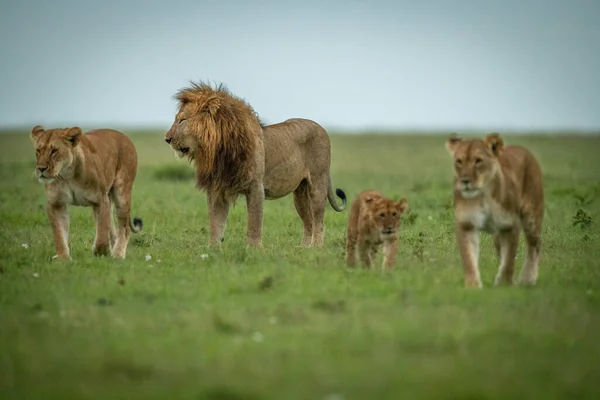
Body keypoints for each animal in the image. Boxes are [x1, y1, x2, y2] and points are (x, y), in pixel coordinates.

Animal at [30, 126, 143, 260]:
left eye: (54, 151)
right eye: (38, 150)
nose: (41, 168)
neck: (67, 176)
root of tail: (123, 135)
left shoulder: (100, 201)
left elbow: (101, 236)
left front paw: (100, 252)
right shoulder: (56, 204)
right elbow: (59, 234)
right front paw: (63, 259)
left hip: (121, 192)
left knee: (124, 228)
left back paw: (117, 255)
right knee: (112, 228)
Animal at [165, 82, 346, 247]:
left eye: (182, 120)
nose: (167, 139)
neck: (219, 150)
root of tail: (321, 128)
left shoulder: (256, 187)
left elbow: (254, 222)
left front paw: (254, 250)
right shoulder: (218, 189)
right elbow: (215, 223)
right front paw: (212, 250)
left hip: (318, 183)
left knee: (319, 221)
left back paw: (316, 248)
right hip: (299, 193)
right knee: (309, 222)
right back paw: (304, 249)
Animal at [446, 134, 544, 288]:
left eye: (478, 160)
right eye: (459, 161)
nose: (465, 181)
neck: (483, 194)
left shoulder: (510, 225)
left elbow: (509, 260)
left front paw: (505, 284)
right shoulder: (466, 224)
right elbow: (468, 258)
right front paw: (473, 285)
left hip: (532, 217)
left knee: (535, 245)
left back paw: (527, 279)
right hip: (498, 236)